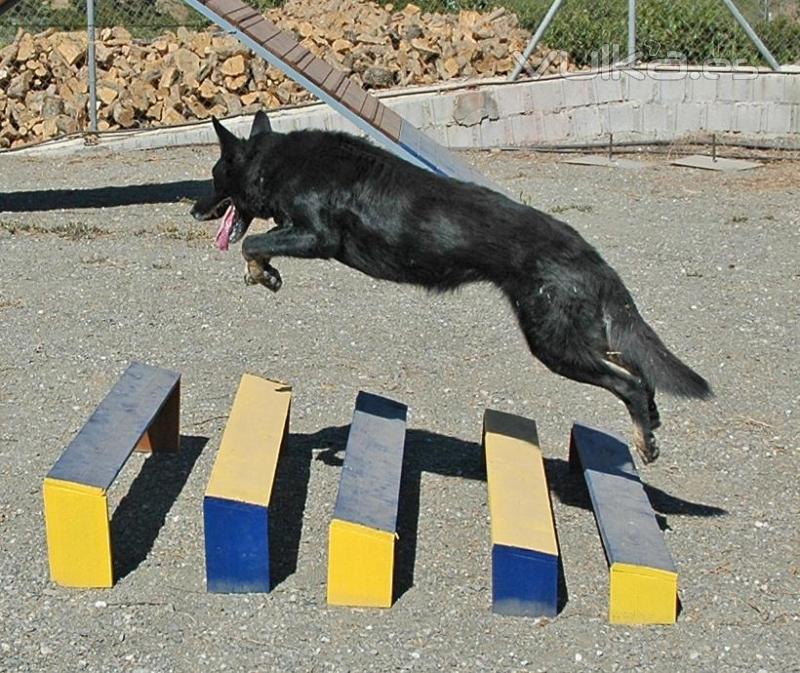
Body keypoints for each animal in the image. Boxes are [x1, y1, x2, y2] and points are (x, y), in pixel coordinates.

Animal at [194, 113, 712, 464]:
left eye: (215, 177)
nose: (194, 209)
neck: (278, 163)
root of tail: (589, 252)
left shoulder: (315, 236)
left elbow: (253, 242)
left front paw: (261, 272)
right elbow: (257, 241)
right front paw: (265, 272)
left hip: (554, 345)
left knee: (627, 382)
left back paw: (644, 438)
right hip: (578, 335)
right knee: (638, 369)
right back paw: (652, 422)